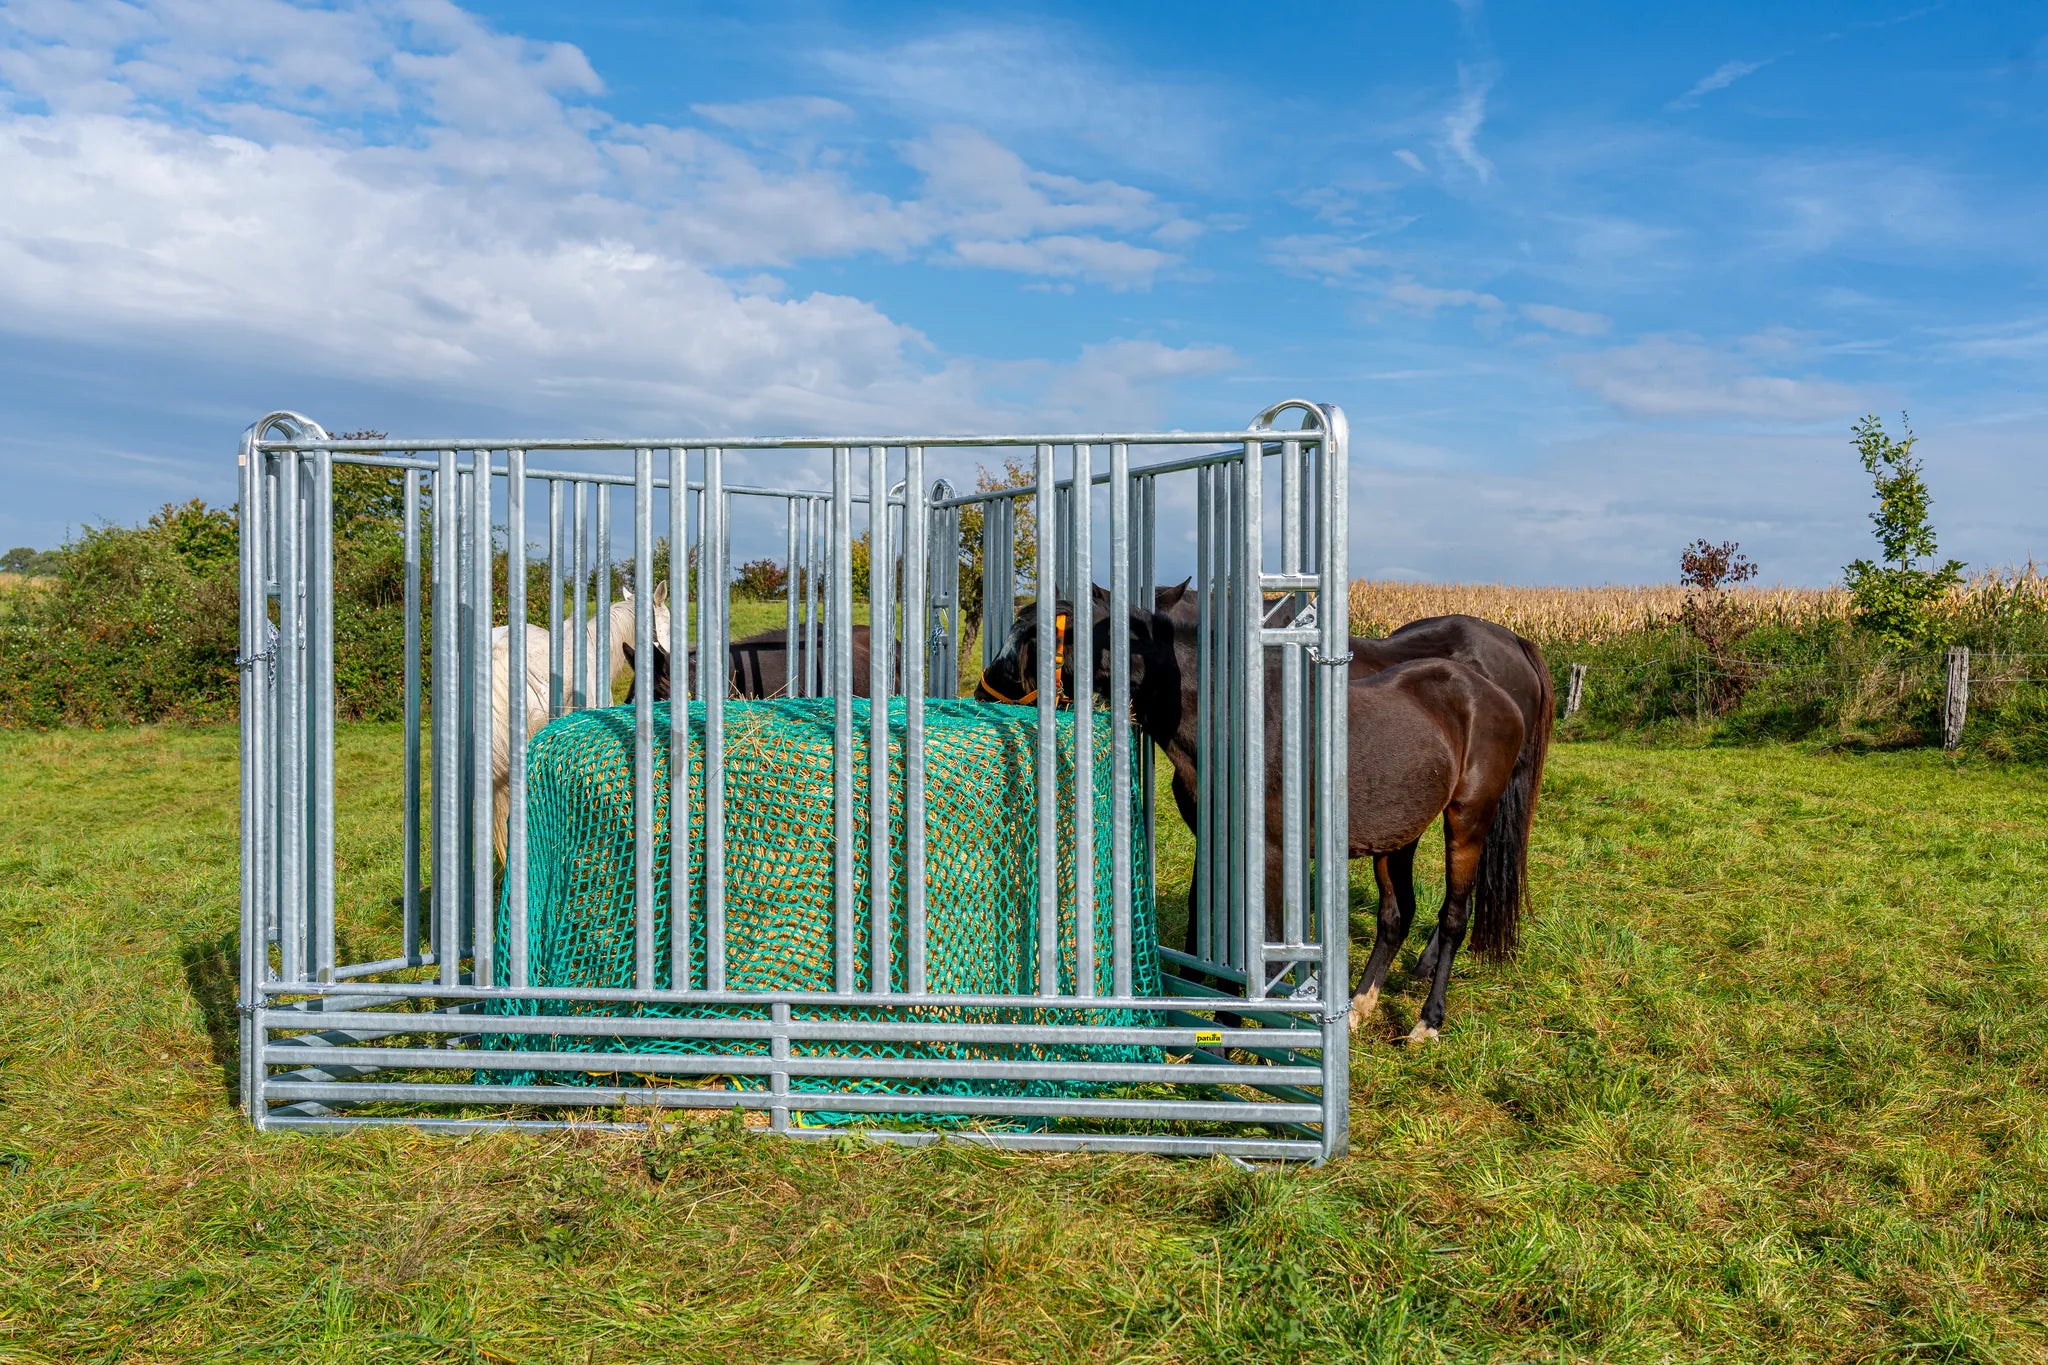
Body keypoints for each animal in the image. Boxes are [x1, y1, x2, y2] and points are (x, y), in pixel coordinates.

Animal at [978, 592, 1531, 1041]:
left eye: (1034, 636)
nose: (983, 695)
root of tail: (1495, 693)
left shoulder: (1271, 854)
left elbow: (1261, 940)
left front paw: (1235, 1026)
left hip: (1467, 822)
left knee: (1454, 916)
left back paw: (1427, 1021)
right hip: (1398, 836)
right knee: (1396, 916)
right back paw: (1357, 1007)